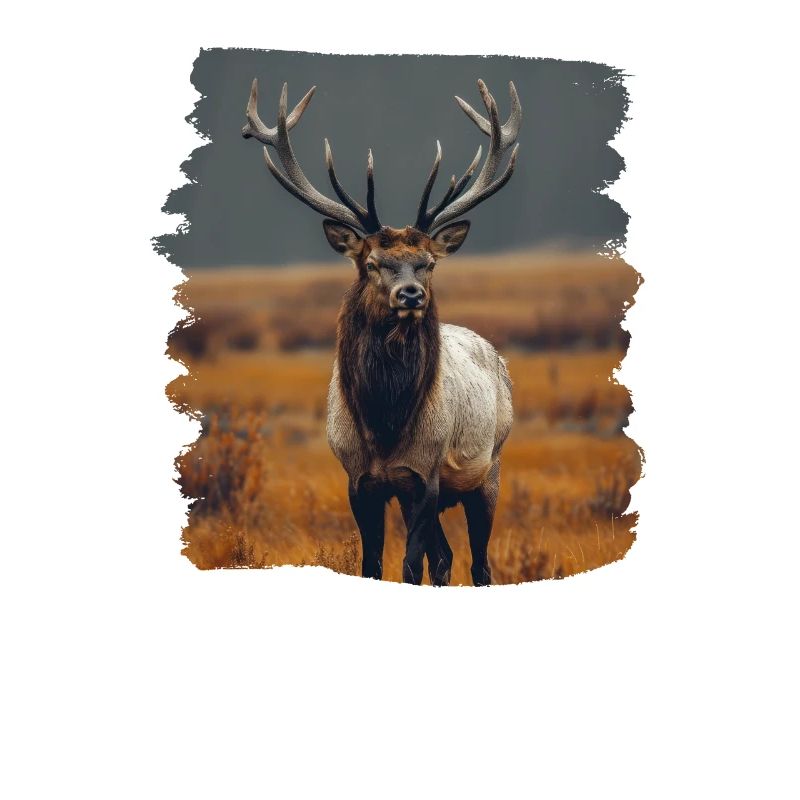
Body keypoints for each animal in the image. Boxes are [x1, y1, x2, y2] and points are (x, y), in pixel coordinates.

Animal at [242, 77, 521, 586]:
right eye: (372, 263)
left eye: (428, 263)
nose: (411, 295)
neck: (384, 423)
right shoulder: (358, 479)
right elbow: (372, 563)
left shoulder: (424, 476)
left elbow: (410, 565)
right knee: (446, 557)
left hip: (489, 468)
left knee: (479, 562)